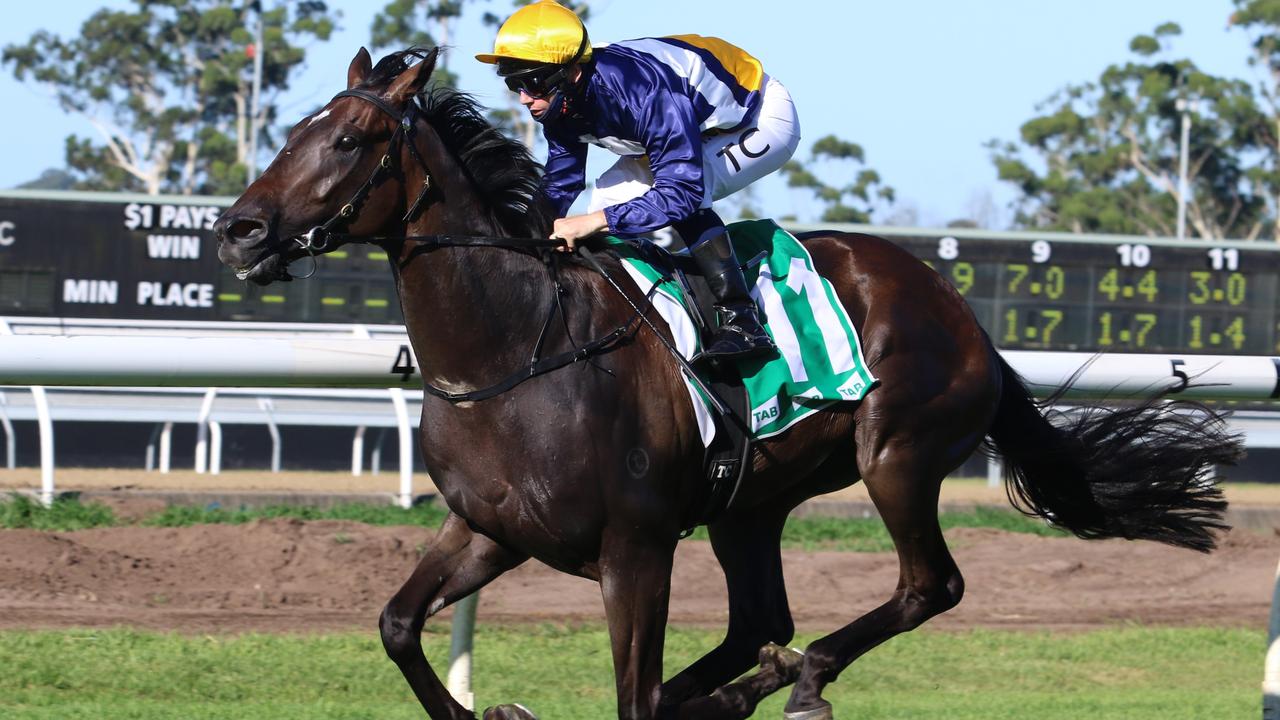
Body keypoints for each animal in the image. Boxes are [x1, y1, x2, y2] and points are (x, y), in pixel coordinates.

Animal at [215, 47, 1244, 712]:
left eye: (351, 140)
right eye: (298, 130)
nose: (238, 229)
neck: (514, 355)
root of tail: (964, 316)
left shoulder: (636, 551)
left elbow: (631, 692)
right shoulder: (490, 529)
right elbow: (397, 625)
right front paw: (491, 709)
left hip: (897, 454)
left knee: (929, 587)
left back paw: (800, 680)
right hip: (750, 501)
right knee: (759, 622)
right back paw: (746, 686)